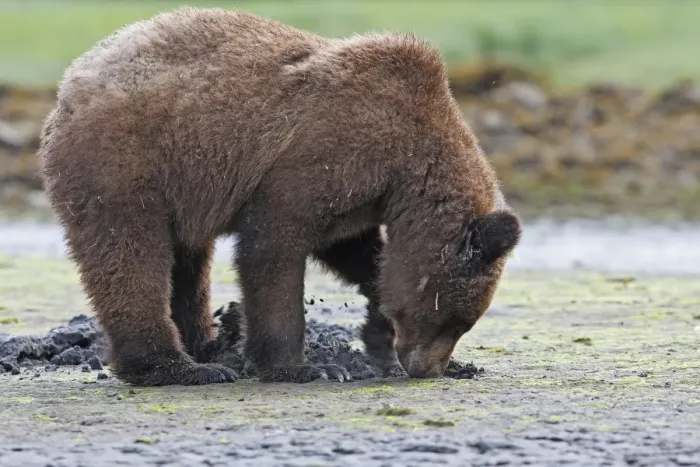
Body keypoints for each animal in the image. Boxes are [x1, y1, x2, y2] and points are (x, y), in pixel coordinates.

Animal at [38, 7, 522, 386]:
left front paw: (390, 336)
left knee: (187, 264)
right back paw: (179, 367)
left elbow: (354, 250)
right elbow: (273, 250)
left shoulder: (357, 192)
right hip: (129, 160)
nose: (427, 368)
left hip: (179, 189)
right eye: (453, 319)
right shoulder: (322, 153)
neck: (404, 165)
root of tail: (70, 83)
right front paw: (306, 366)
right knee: (130, 255)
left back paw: (210, 346)